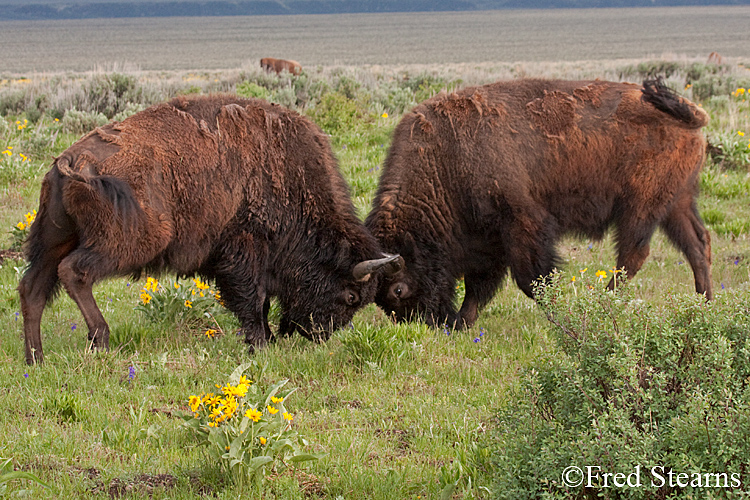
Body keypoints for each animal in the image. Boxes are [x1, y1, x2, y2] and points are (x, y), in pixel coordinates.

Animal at [19, 94, 406, 364]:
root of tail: (71, 162)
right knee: (74, 272)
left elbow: (261, 301)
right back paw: (99, 339)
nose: (320, 335)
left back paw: (35, 359)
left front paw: (265, 339)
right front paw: (260, 343)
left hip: (55, 238)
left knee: (32, 288)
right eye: (351, 296)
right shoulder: (245, 250)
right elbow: (254, 299)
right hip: (132, 241)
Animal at [368, 77, 712, 328]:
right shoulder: (488, 240)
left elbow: (532, 280)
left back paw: (603, 303)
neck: (444, 158)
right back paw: (705, 305)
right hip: (677, 203)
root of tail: (692, 115)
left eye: (398, 290)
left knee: (634, 255)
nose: (423, 324)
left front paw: (559, 317)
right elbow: (479, 285)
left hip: (640, 207)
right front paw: (463, 323)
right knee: (698, 246)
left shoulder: (523, 224)